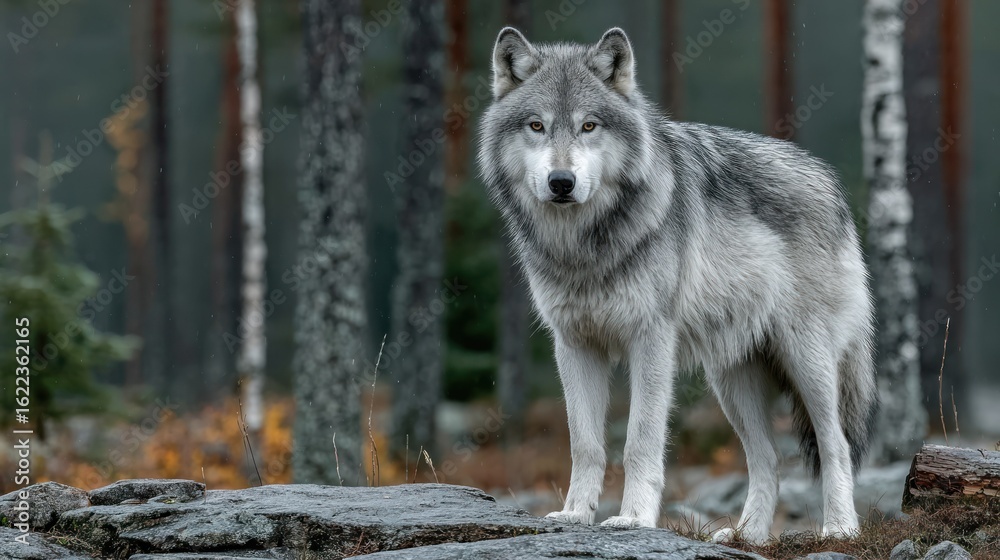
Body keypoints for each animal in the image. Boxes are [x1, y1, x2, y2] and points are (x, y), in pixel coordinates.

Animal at [477, 27, 879, 544]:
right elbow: (585, 444)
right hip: (731, 379)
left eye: (589, 126)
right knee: (767, 458)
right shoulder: (573, 344)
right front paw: (574, 514)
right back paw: (748, 536)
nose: (561, 182)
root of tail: (830, 181)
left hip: (807, 361)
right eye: (536, 126)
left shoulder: (651, 340)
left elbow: (639, 440)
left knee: (836, 444)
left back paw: (839, 529)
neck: (584, 246)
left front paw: (633, 518)